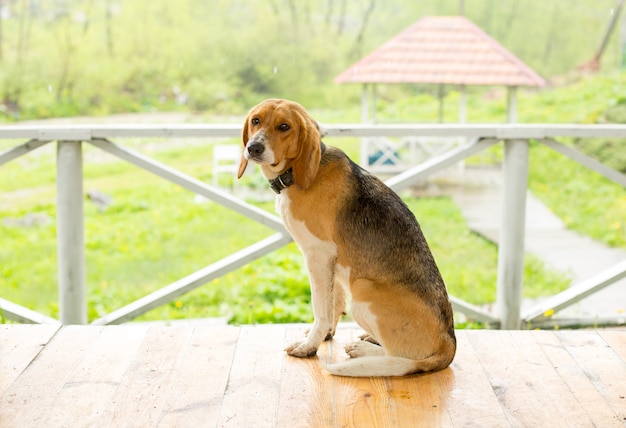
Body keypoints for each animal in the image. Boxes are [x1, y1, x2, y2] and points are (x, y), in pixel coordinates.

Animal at [235, 98, 454, 376]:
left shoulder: (318, 255)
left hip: (362, 292)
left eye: (284, 126)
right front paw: (326, 336)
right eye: (256, 121)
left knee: (398, 356)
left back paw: (365, 351)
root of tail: (450, 345)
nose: (253, 148)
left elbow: (321, 309)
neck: (300, 173)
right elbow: (333, 303)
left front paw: (309, 346)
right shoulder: (333, 261)